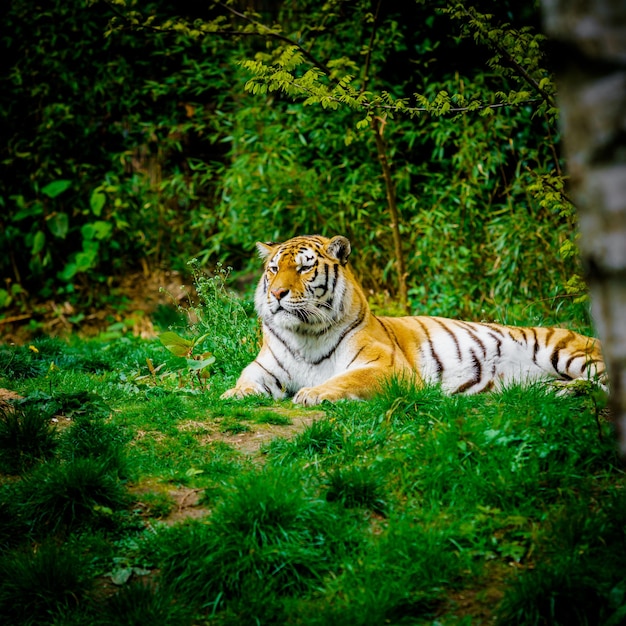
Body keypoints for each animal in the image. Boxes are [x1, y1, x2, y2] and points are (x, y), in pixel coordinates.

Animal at [221, 234, 604, 404]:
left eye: (303, 268)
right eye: (273, 269)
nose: (277, 294)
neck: (305, 333)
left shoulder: (387, 367)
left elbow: (345, 380)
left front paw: (312, 394)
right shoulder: (265, 366)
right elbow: (248, 379)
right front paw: (233, 394)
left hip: (568, 352)